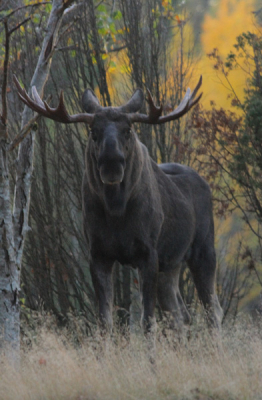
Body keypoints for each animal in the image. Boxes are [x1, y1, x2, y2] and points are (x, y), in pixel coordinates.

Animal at [13, 75, 223, 334]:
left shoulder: (149, 253)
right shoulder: (98, 254)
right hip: (171, 264)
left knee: (213, 311)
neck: (116, 211)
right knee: (180, 314)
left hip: (203, 249)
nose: (111, 163)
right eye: (93, 131)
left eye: (128, 129)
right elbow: (105, 321)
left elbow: (147, 321)